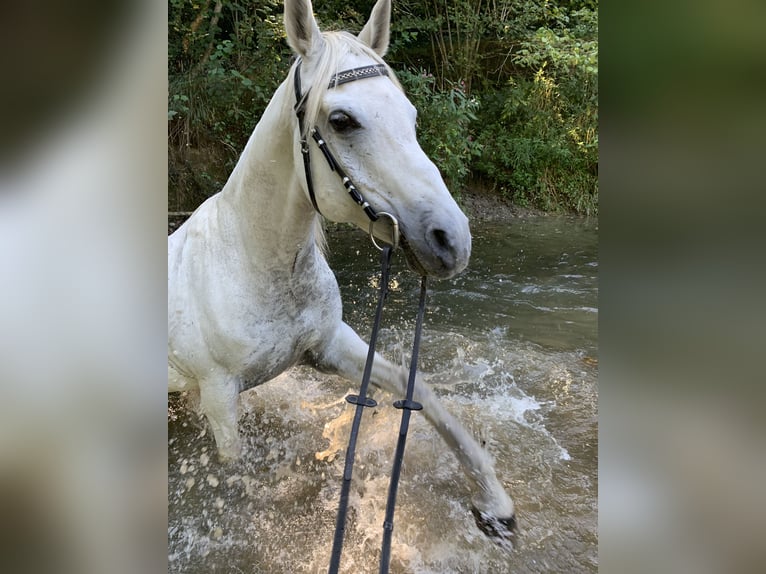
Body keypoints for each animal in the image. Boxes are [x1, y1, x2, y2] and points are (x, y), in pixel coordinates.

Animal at [168, 0, 516, 540]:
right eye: (342, 120)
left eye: (412, 117)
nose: (452, 240)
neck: (252, 259)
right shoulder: (221, 397)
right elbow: (234, 473)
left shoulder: (330, 345)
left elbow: (418, 390)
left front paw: (494, 502)